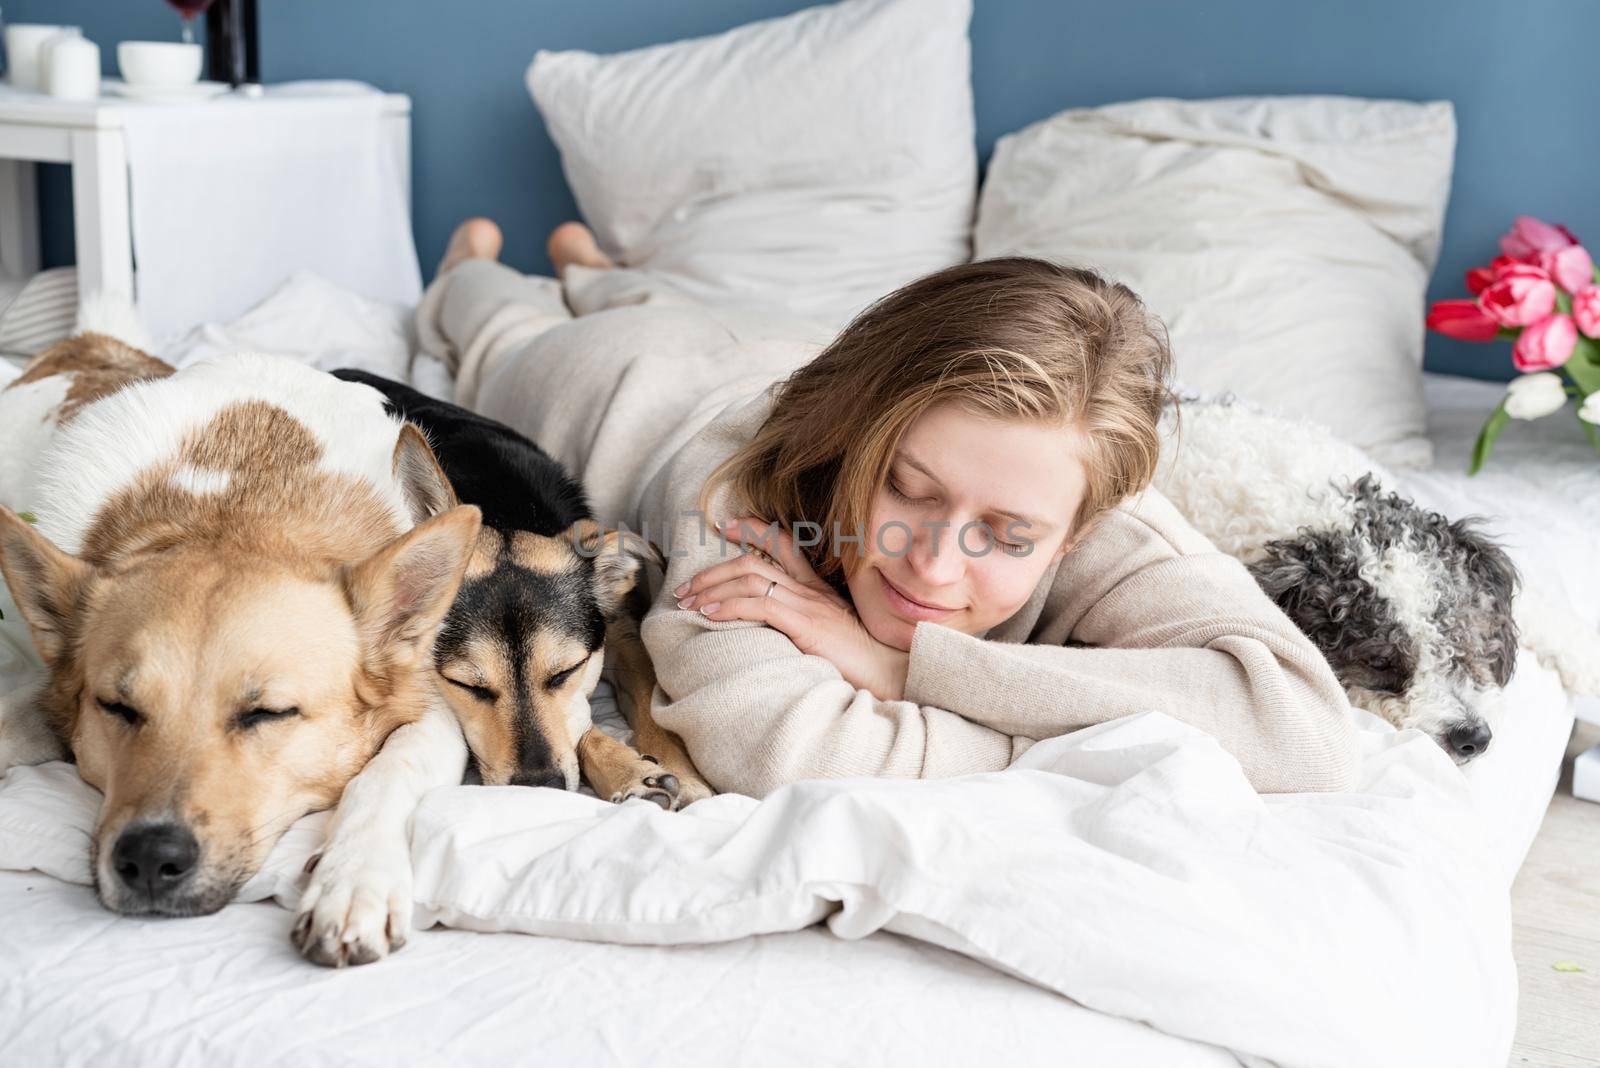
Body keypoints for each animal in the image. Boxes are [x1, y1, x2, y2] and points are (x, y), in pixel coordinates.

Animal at [0, 330, 473, 965]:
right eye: (117, 709)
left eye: (268, 714)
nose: (149, 859)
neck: (235, 516)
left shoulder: (432, 707)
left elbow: (387, 770)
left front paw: (354, 880)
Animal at [334, 367, 710, 808]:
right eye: (467, 686)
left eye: (565, 672)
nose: (538, 788)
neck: (504, 509)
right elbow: (580, 729)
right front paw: (627, 769)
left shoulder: (616, 627)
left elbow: (647, 695)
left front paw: (683, 772)